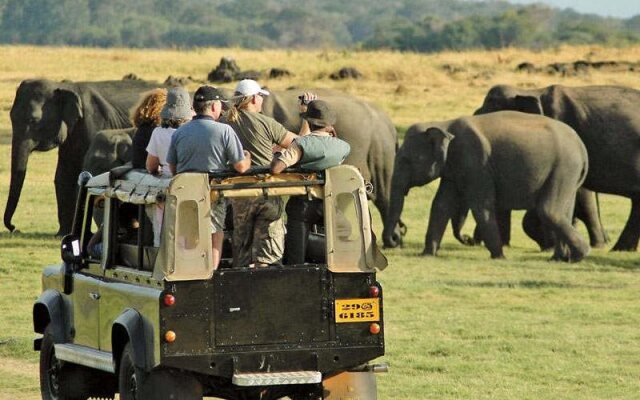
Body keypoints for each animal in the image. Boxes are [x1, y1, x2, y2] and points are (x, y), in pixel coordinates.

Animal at [5, 78, 162, 234]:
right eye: (11, 117)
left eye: (34, 120)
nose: (14, 228)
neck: (64, 87)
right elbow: (63, 176)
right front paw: (63, 234)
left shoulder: (94, 123)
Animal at [382, 111, 588, 262]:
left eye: (405, 160)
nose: (396, 238)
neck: (444, 125)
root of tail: (582, 147)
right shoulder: (453, 168)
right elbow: (441, 205)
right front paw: (426, 254)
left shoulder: (476, 162)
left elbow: (481, 206)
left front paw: (499, 257)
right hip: (568, 174)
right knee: (565, 212)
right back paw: (559, 258)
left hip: (564, 168)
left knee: (549, 210)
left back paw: (581, 254)